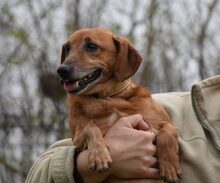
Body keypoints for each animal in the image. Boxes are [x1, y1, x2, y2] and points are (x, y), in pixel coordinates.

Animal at [56, 27, 180, 182]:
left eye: (91, 46)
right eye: (67, 48)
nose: (61, 70)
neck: (107, 98)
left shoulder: (166, 123)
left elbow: (166, 133)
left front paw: (170, 166)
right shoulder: (77, 141)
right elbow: (89, 127)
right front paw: (99, 155)